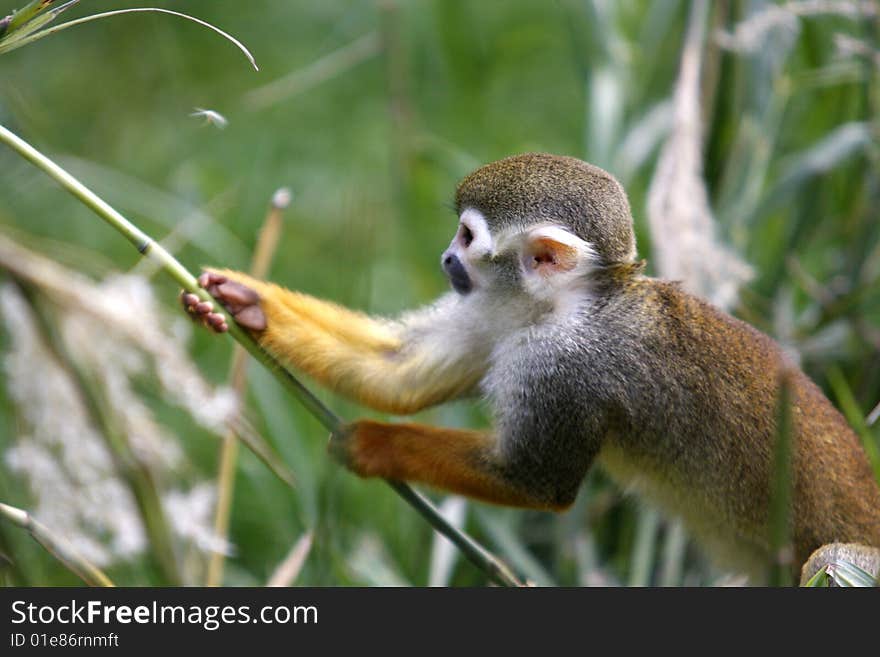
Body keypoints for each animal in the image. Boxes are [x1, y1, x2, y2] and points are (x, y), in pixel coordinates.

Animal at [184, 152, 880, 580]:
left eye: (467, 237)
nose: (445, 258)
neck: (566, 308)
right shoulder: (498, 309)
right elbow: (401, 373)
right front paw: (245, 304)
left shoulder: (563, 366)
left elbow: (537, 483)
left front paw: (372, 443)